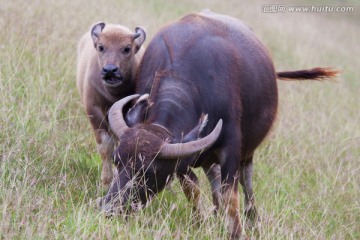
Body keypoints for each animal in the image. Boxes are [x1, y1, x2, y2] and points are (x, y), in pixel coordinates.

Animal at [98, 9, 338, 238]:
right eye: (117, 160)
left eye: (149, 172)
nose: (109, 209)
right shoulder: (183, 159)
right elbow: (193, 189)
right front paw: (200, 222)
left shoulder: (231, 148)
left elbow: (230, 195)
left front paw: (236, 232)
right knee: (212, 176)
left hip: (247, 152)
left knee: (246, 181)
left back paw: (253, 221)